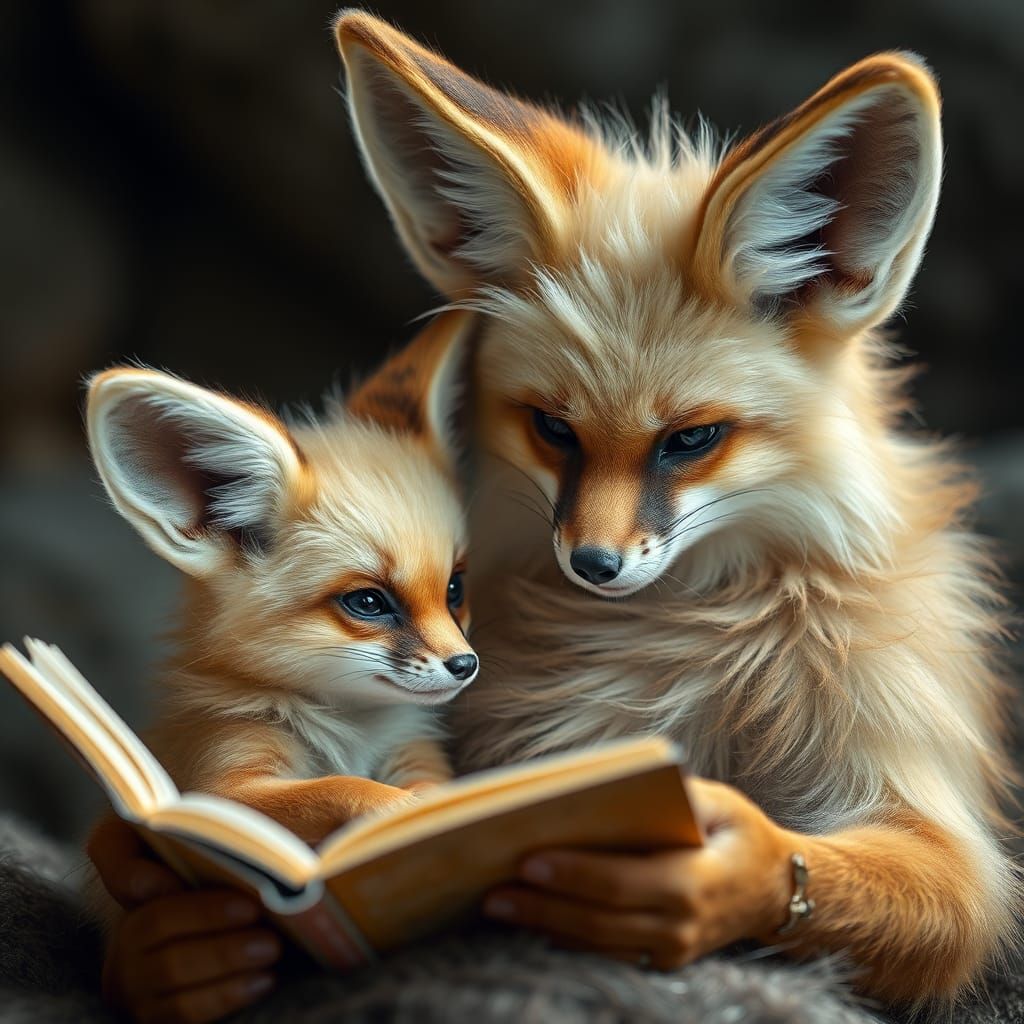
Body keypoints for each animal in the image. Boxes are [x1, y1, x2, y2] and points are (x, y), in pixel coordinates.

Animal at [84, 313, 478, 853]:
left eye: (454, 589)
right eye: (368, 602)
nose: (465, 665)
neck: (347, 734)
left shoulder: (412, 753)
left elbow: (427, 790)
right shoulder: (223, 780)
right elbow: (345, 789)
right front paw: (401, 817)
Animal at [334, 11, 1018, 1007]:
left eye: (690, 440)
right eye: (553, 429)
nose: (594, 564)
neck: (661, 642)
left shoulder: (933, 816)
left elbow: (888, 889)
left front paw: (721, 877)